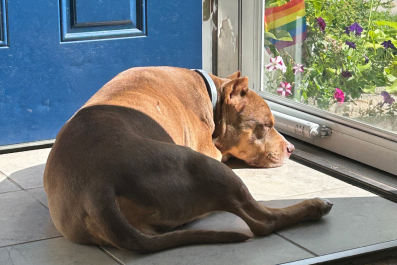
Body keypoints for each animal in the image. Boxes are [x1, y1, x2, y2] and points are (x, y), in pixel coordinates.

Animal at [43, 66, 332, 252]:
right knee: (262, 221)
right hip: (207, 167)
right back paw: (315, 206)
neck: (214, 94)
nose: (291, 148)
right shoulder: (211, 151)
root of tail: (98, 186)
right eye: (266, 125)